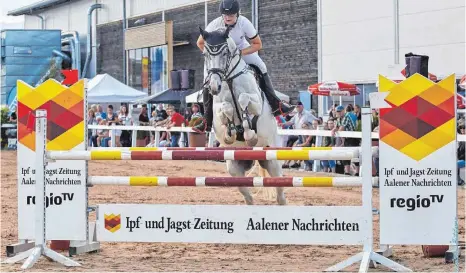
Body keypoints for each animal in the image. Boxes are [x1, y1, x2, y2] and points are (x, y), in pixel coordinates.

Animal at [199, 26, 286, 204]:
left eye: (225, 53)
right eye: (205, 54)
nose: (214, 87)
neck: (229, 79)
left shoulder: (257, 103)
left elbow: (243, 99)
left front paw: (248, 134)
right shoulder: (217, 109)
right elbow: (226, 108)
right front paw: (230, 133)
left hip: (273, 161)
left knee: (280, 194)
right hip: (234, 168)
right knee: (248, 197)